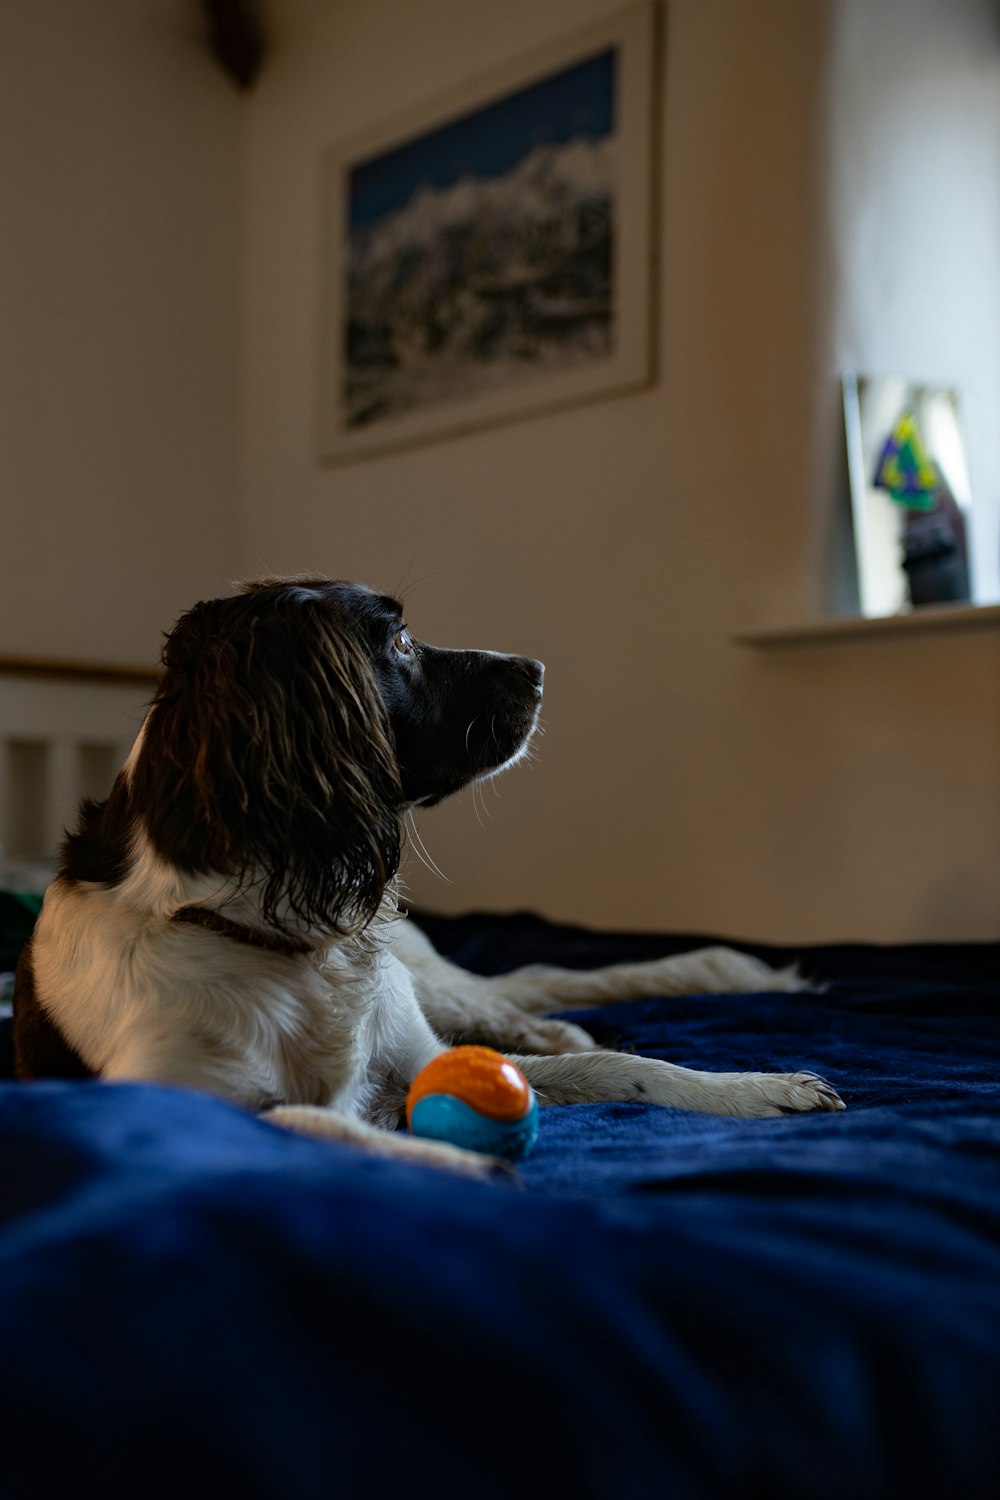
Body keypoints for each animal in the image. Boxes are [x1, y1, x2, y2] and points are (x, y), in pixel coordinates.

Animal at [15, 579, 845, 1176]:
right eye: (403, 642)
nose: (539, 670)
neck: (279, 931)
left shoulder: (417, 1053)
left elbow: (617, 1065)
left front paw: (760, 1087)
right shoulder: (170, 1090)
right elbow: (301, 1120)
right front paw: (452, 1162)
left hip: (433, 983)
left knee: (521, 994)